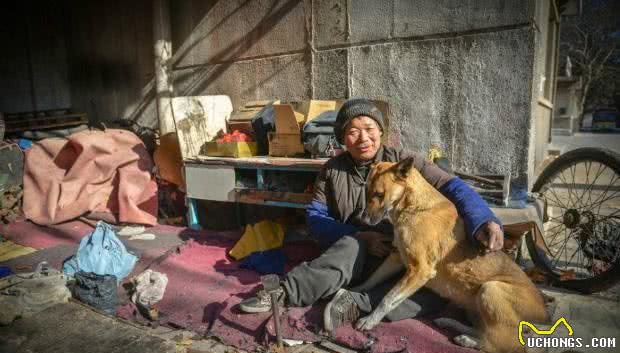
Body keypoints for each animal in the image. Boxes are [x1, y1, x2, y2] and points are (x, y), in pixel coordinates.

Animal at [354, 159, 548, 352]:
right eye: (366, 190)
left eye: (379, 194)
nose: (362, 220)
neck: (413, 206)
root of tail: (544, 315)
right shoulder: (396, 257)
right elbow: (373, 279)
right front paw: (356, 289)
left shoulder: (419, 270)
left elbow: (387, 299)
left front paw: (369, 320)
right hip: (476, 305)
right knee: (484, 331)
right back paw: (451, 323)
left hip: (490, 289)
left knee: (501, 343)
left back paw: (468, 341)